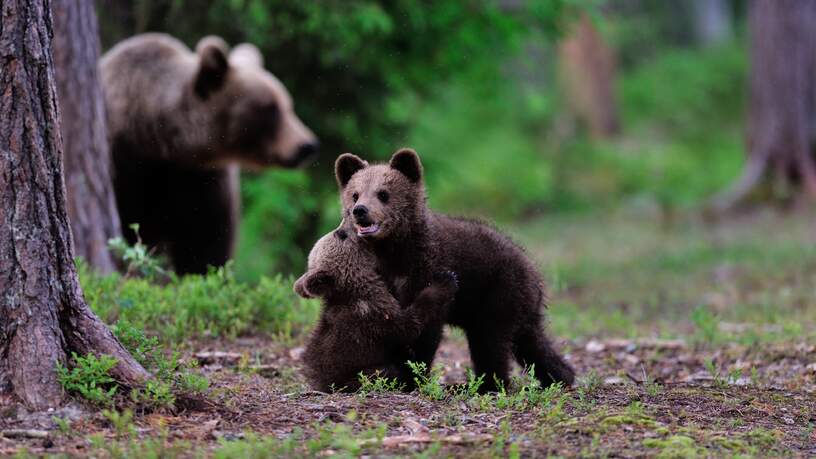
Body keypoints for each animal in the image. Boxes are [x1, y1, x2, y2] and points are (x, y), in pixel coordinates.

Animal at [100, 34, 318, 274]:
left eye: (288, 104)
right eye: (270, 108)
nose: (306, 145)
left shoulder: (202, 180)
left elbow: (205, 241)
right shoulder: (126, 167)